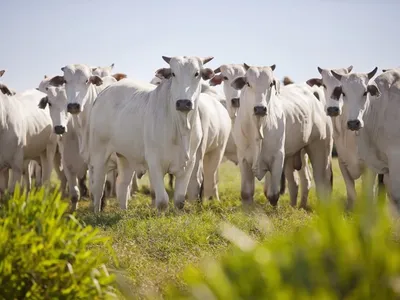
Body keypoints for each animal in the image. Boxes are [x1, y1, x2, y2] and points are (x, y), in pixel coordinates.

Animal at [84, 55, 214, 212]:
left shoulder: (189, 163)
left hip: (125, 156)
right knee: (97, 187)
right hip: (99, 153)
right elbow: (162, 200)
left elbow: (179, 201)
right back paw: (97, 213)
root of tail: (105, 91)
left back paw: (123, 211)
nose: (183, 103)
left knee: (122, 184)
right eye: (173, 73)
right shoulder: (154, 162)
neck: (181, 128)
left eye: (197, 73)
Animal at [230, 63, 332, 206]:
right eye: (248, 83)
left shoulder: (278, 157)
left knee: (322, 182)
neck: (258, 127)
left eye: (271, 84)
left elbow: (273, 195)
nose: (260, 108)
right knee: (297, 182)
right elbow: (246, 193)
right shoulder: (243, 158)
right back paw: (297, 206)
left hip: (320, 148)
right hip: (295, 155)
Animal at [330, 68, 398, 209]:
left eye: (365, 92)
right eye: (343, 93)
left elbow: (370, 195)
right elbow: (352, 194)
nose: (353, 123)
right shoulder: (343, 163)